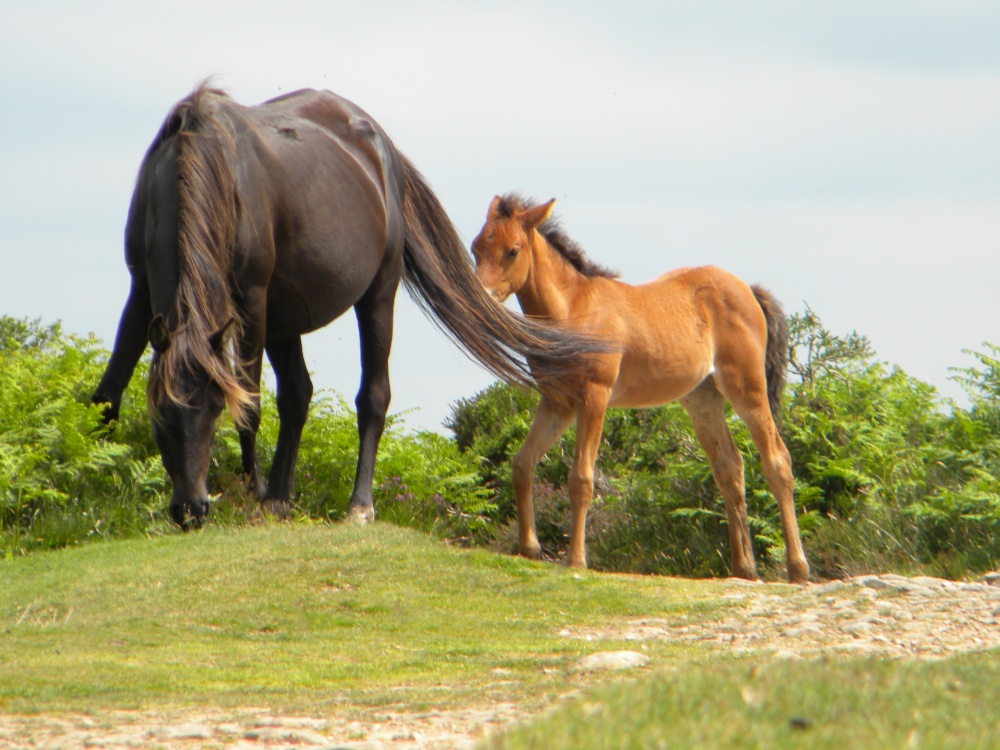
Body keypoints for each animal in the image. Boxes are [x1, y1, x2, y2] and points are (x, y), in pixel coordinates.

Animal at [94, 88, 596, 532]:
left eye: (216, 407)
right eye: (160, 411)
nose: (191, 509)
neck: (201, 166)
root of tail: (382, 145)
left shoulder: (250, 301)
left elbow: (249, 402)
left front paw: (248, 493)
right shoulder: (141, 290)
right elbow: (108, 393)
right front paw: (92, 493)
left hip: (374, 297)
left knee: (372, 396)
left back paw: (357, 505)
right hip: (285, 315)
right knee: (297, 394)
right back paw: (280, 498)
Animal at [472, 194, 808, 580]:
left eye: (512, 251)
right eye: (475, 247)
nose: (479, 297)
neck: (573, 309)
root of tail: (749, 290)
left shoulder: (594, 395)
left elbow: (581, 478)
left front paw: (576, 560)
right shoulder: (557, 401)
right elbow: (522, 464)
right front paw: (529, 548)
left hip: (746, 388)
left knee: (777, 461)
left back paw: (797, 567)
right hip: (703, 400)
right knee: (729, 467)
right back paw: (744, 567)